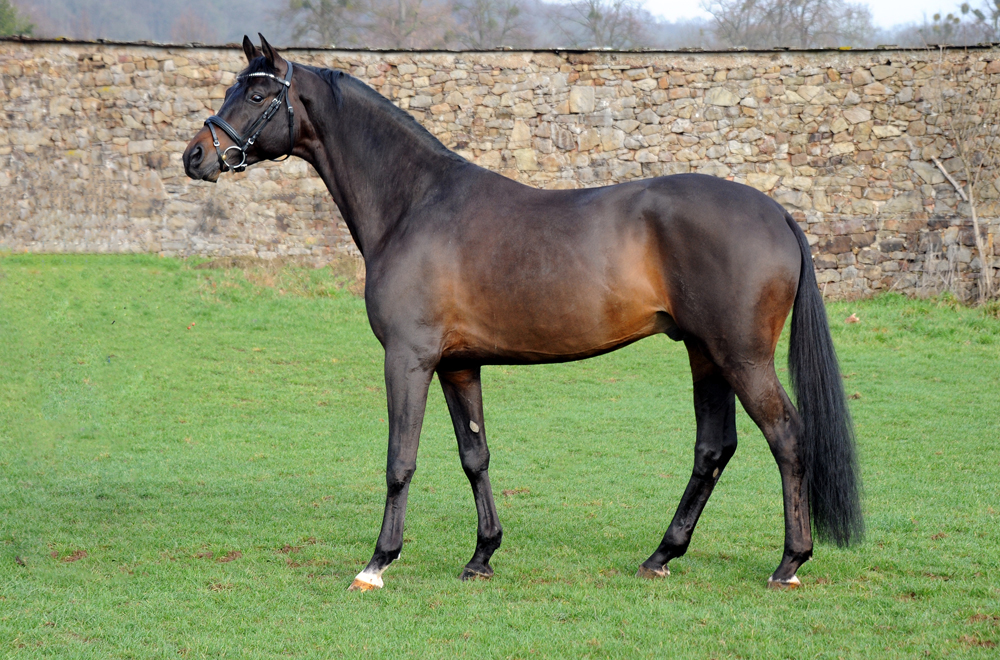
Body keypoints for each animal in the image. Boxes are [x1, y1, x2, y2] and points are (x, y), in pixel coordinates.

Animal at [184, 34, 864, 592]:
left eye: (257, 93)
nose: (196, 155)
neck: (415, 204)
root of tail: (776, 213)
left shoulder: (409, 358)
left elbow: (400, 460)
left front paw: (377, 563)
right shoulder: (458, 364)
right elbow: (475, 455)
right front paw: (482, 556)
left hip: (741, 355)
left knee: (786, 436)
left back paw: (789, 562)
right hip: (704, 353)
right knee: (713, 448)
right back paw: (661, 556)